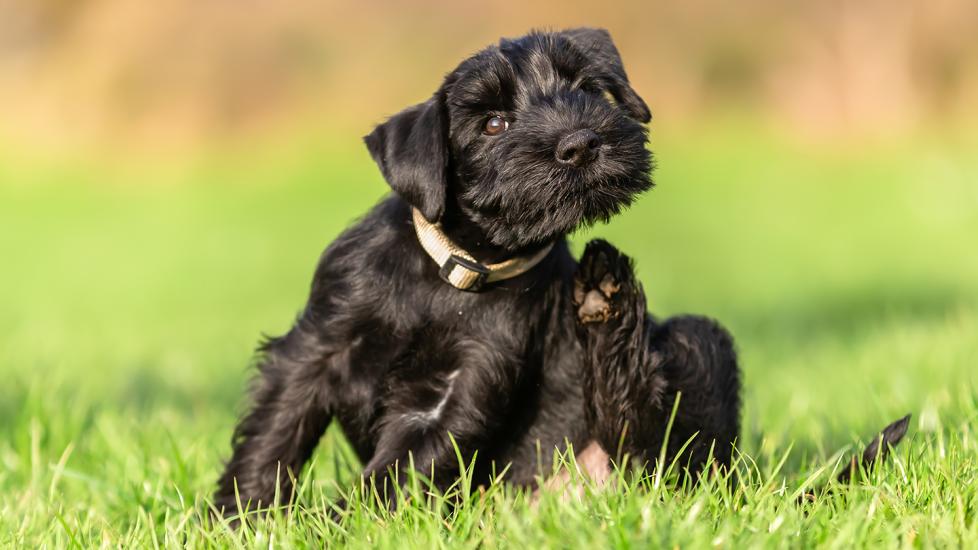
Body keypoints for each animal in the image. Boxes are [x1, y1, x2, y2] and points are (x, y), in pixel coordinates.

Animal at [212, 27, 732, 516]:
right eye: (493, 123)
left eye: (585, 88)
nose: (581, 144)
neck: (455, 270)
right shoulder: (316, 347)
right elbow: (275, 433)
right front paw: (240, 517)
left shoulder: (463, 383)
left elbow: (398, 467)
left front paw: (343, 526)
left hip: (698, 340)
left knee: (656, 451)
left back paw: (609, 297)